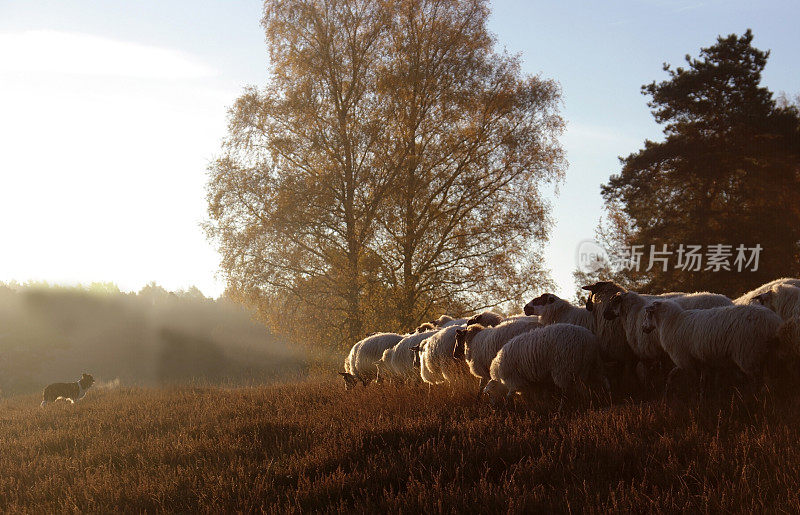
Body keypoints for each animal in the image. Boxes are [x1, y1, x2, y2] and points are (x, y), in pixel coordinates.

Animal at [644, 298, 780, 400]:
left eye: (648, 314)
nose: (643, 328)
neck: (672, 322)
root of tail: (772, 322)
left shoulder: (684, 360)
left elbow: (691, 381)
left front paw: (693, 398)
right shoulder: (701, 361)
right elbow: (698, 380)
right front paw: (702, 397)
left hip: (747, 352)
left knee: (756, 379)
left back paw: (753, 398)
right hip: (768, 352)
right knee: (770, 377)